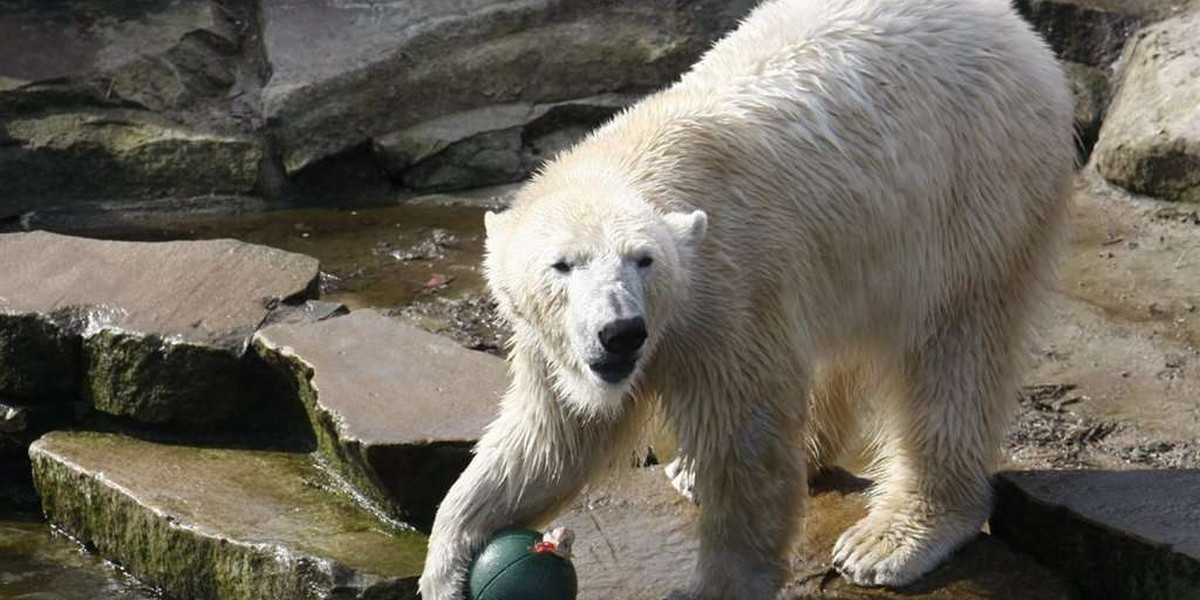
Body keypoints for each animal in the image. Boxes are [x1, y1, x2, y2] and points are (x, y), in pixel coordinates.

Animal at [420, 0, 1070, 595]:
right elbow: (550, 437)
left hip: (975, 195)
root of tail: (1020, 33)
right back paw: (712, 467)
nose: (620, 331)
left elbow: (747, 438)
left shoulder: (731, 288)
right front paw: (449, 562)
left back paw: (893, 539)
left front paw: (722, 582)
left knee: (954, 355)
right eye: (562, 265)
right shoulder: (556, 345)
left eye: (644, 259)